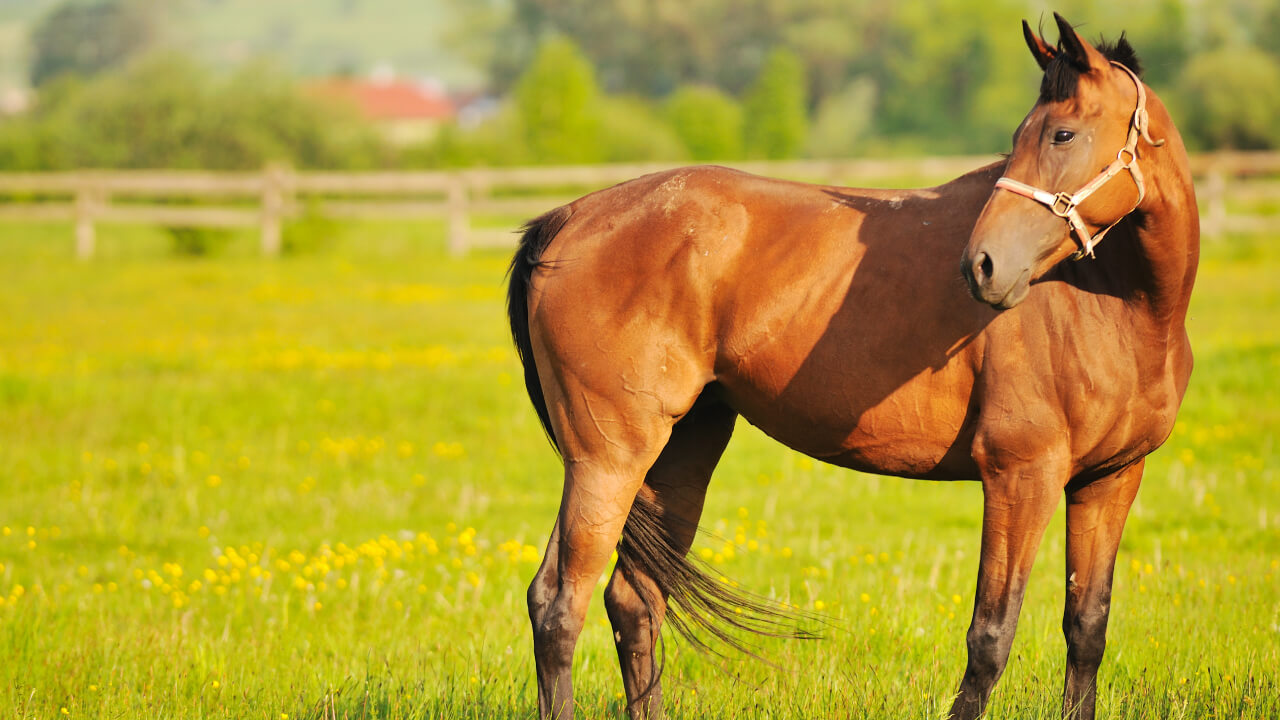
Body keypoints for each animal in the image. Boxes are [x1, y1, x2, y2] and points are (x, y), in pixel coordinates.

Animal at [506, 13, 1197, 720]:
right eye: (1020, 138)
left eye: (1062, 133)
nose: (982, 266)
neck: (1116, 304)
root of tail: (566, 221)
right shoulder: (1020, 476)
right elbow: (991, 635)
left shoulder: (1110, 479)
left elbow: (1086, 628)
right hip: (607, 459)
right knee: (560, 605)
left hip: (679, 451)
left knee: (631, 600)